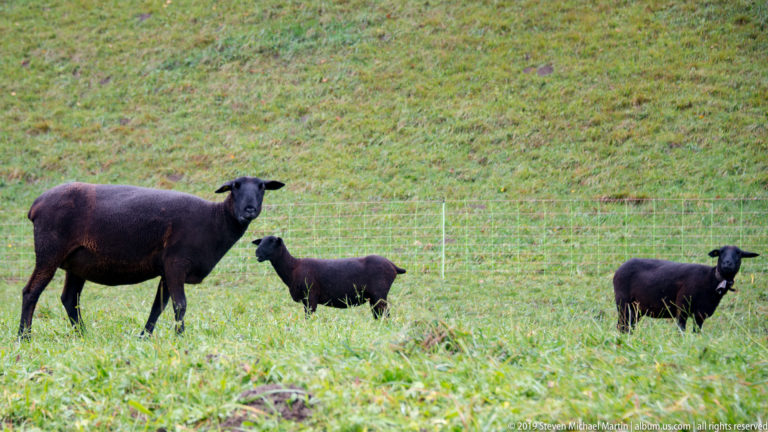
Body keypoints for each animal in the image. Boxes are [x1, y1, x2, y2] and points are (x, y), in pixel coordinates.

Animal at [18, 176, 284, 338]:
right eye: (235, 186)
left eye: (261, 188)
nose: (249, 210)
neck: (215, 219)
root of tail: (36, 205)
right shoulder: (177, 262)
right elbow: (180, 304)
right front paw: (180, 337)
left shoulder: (167, 269)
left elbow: (159, 306)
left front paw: (144, 336)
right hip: (49, 251)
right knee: (31, 292)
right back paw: (24, 337)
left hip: (77, 262)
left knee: (69, 298)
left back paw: (83, 336)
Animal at [252, 236, 406, 318]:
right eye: (260, 241)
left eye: (271, 242)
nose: (256, 252)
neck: (293, 267)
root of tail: (393, 265)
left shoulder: (311, 297)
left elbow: (309, 318)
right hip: (374, 297)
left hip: (379, 294)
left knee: (385, 315)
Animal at [613, 246, 759, 333]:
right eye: (721, 253)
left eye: (738, 254)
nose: (727, 263)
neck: (711, 279)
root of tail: (619, 269)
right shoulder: (682, 306)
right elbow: (681, 330)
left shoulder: (701, 313)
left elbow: (696, 332)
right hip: (623, 303)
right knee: (622, 325)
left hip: (636, 309)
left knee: (628, 326)